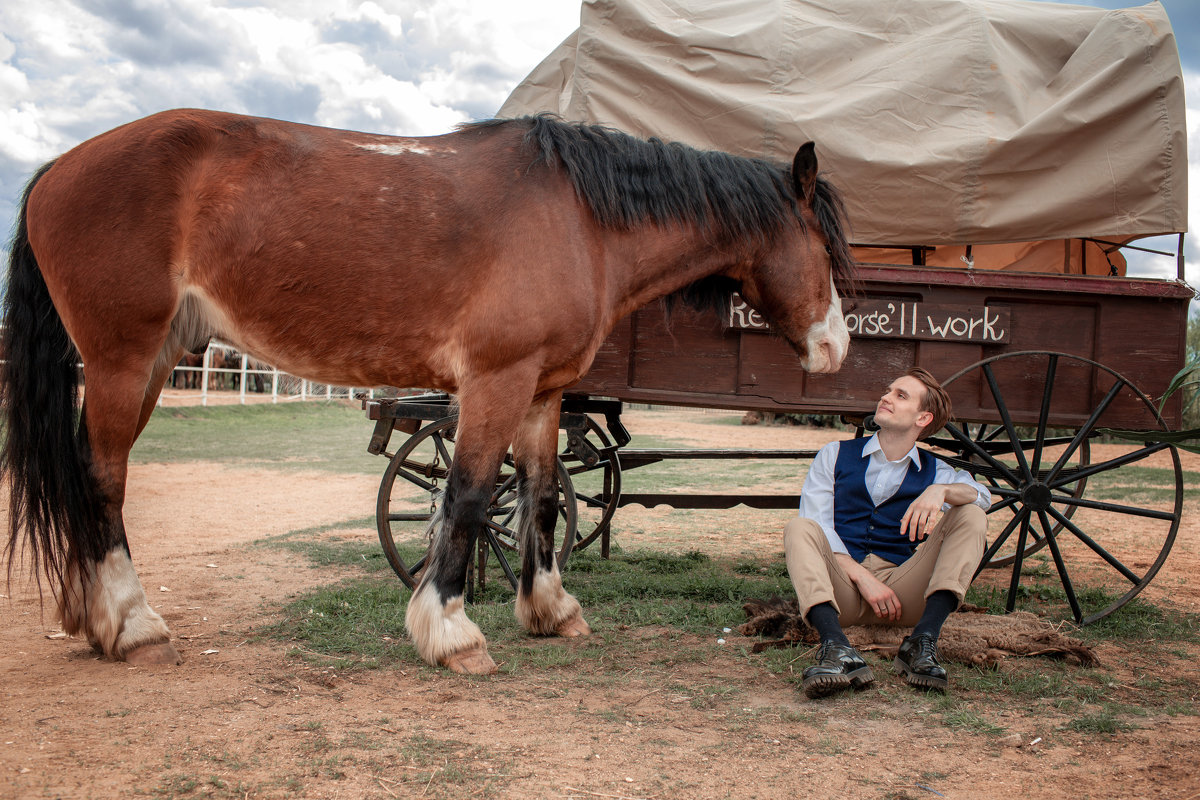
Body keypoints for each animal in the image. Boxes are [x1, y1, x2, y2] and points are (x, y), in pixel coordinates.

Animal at [0, 110, 854, 676]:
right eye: (824, 247)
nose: (836, 348)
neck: (581, 219)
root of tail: (55, 170)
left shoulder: (542, 392)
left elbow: (540, 498)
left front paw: (549, 609)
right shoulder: (495, 381)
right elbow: (471, 497)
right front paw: (450, 629)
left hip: (148, 362)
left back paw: (91, 613)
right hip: (123, 360)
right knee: (104, 481)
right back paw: (130, 622)